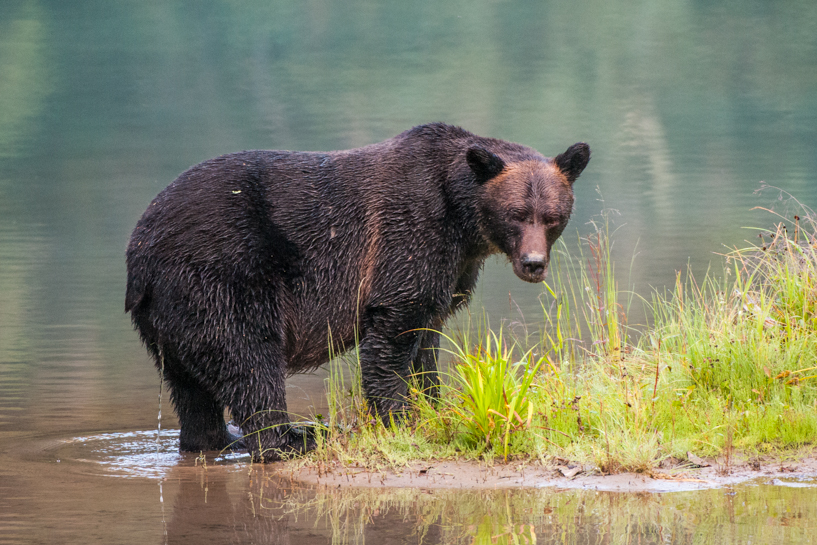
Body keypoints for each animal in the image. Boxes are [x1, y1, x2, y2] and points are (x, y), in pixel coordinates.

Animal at [125, 123, 590, 461]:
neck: (462, 220)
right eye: (516, 214)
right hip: (222, 278)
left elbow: (427, 339)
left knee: (191, 389)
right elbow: (393, 332)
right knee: (249, 360)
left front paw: (432, 403)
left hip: (169, 316)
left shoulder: (452, 270)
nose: (533, 263)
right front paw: (400, 417)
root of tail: (139, 251)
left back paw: (217, 440)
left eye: (552, 216)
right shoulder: (408, 237)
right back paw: (292, 438)